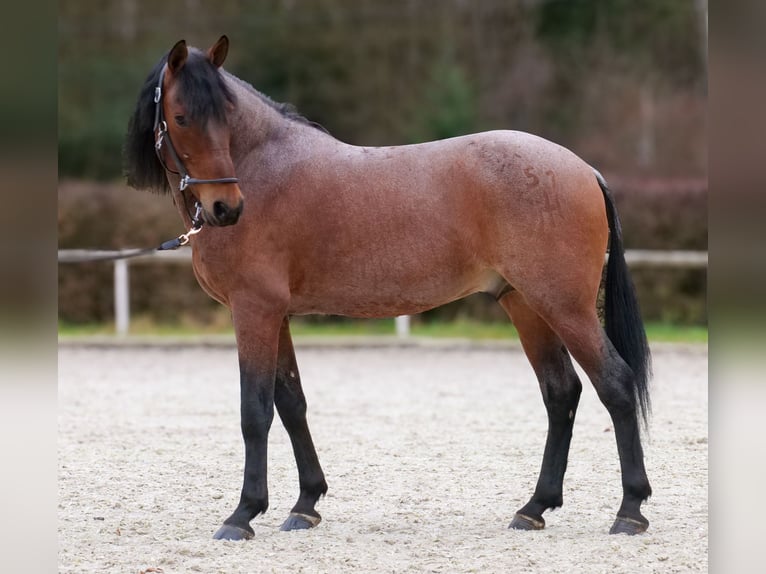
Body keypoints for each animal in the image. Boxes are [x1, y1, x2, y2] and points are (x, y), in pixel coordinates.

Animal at [125, 36, 652, 540]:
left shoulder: (254, 311)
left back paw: (630, 510)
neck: (265, 168)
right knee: (561, 393)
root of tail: (584, 170)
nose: (226, 208)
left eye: (225, 116)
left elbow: (254, 412)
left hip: (565, 307)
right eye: (181, 117)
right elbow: (292, 403)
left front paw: (243, 514)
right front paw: (306, 504)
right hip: (525, 305)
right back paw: (534, 508)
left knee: (615, 384)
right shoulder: (277, 316)